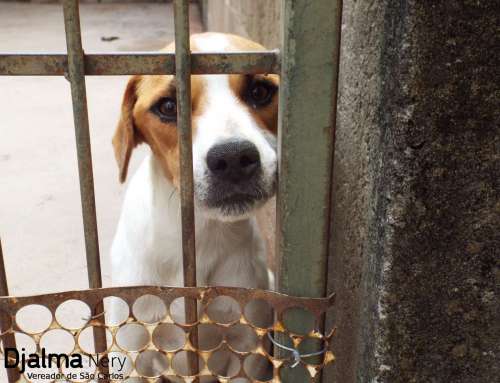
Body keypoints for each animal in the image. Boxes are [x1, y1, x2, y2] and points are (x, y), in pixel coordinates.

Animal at [110, 33, 280, 380]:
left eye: (259, 91)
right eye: (168, 106)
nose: (233, 158)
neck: (198, 239)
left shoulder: (247, 353)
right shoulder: (131, 355)